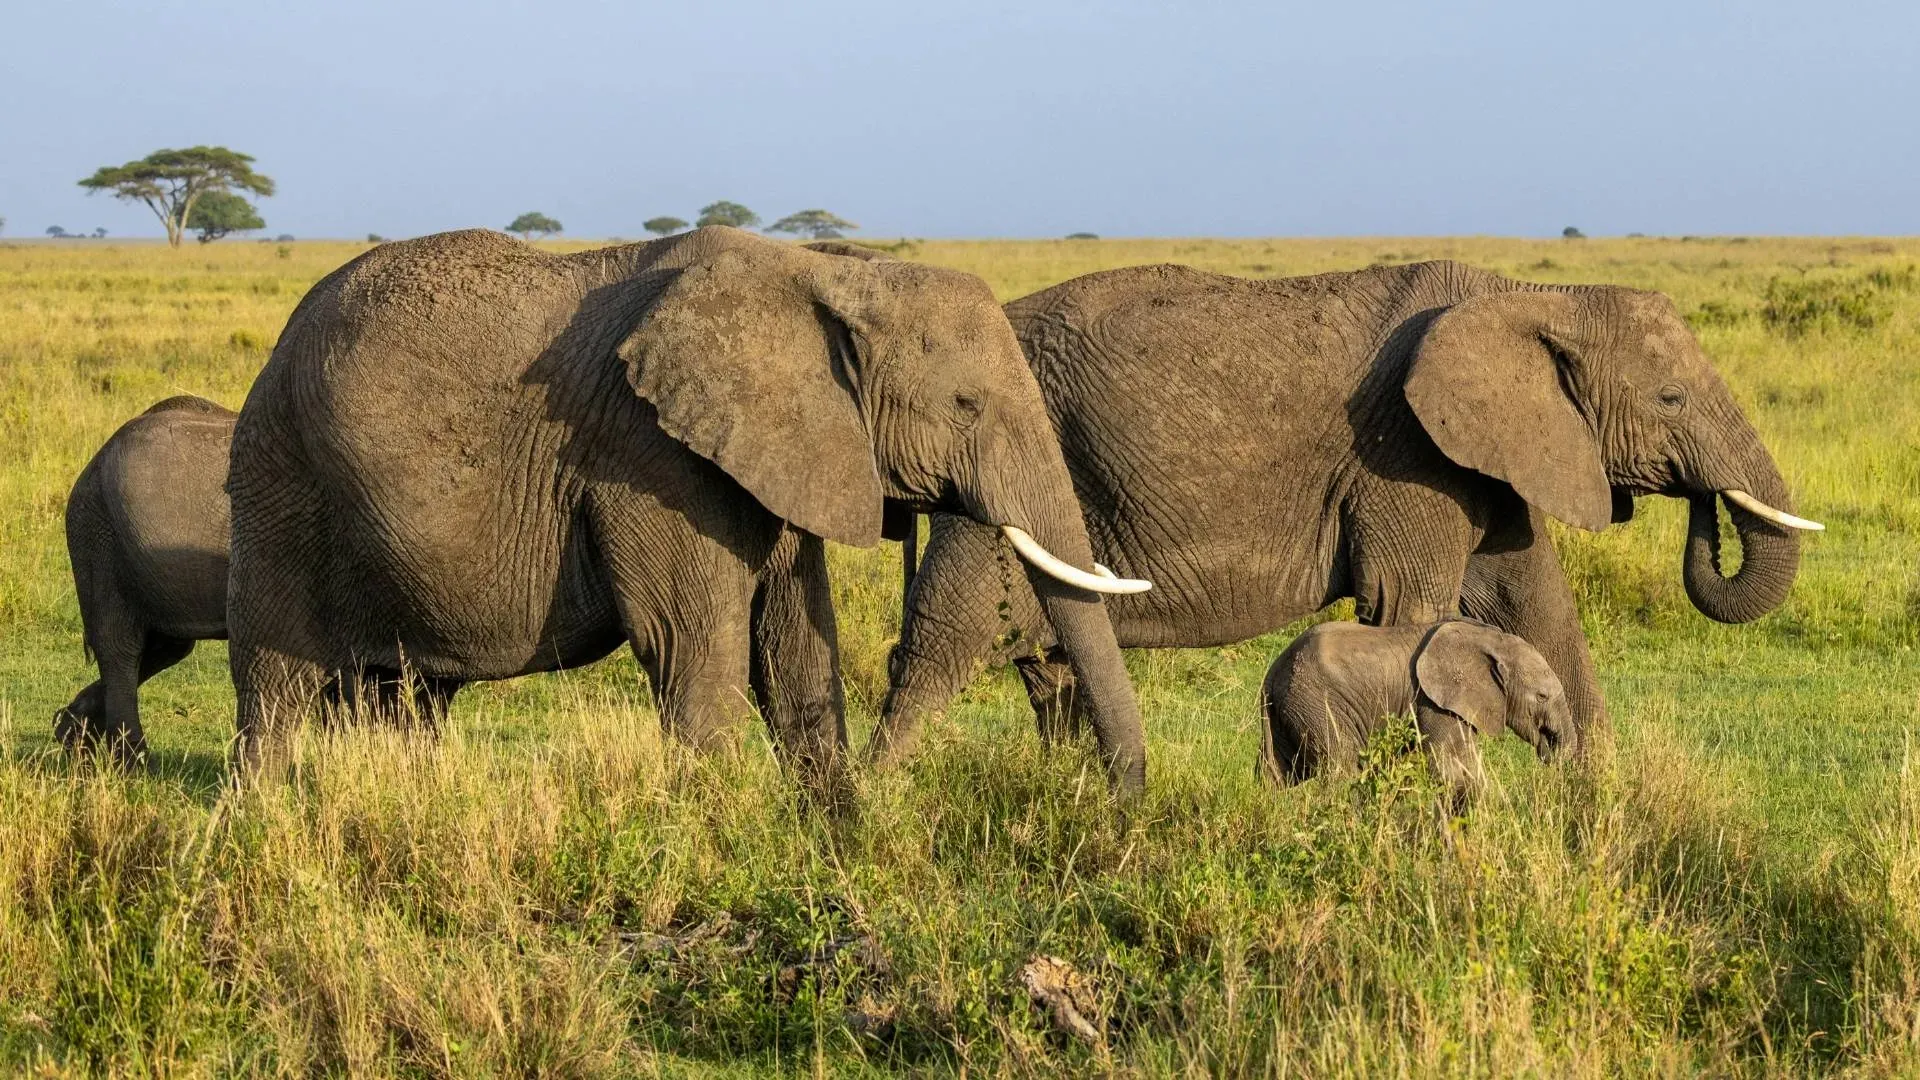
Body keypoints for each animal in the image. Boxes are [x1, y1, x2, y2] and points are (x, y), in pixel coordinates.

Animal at [55, 396, 459, 765]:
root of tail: (94, 460)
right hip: (97, 536)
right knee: (121, 646)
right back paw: (132, 761)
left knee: (163, 647)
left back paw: (74, 736)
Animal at [224, 226, 1153, 790]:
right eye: (965, 405)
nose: (1119, 805)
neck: (826, 271)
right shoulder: (652, 456)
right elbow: (691, 643)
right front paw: (722, 844)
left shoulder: (781, 451)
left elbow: (796, 645)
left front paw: (836, 846)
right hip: (279, 479)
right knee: (275, 684)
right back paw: (262, 821)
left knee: (401, 695)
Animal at [874, 259, 1821, 765]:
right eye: (1670, 399)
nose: (1704, 511)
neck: (1529, 295)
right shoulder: (1403, 454)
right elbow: (1414, 614)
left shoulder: (1488, 459)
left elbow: (1535, 603)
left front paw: (1598, 819)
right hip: (991, 479)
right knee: (938, 649)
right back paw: (877, 817)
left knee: (1053, 673)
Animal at [1259, 617, 1571, 798]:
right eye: (1541, 696)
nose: (1549, 752)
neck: (1491, 640)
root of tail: (1272, 673)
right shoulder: (1434, 701)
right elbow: (1450, 765)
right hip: (1318, 704)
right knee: (1341, 768)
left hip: (1289, 710)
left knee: (1276, 775)